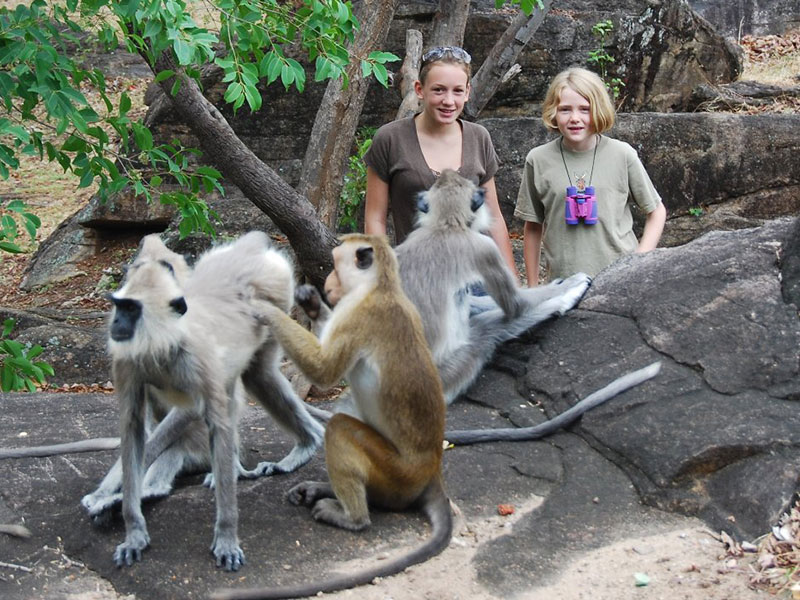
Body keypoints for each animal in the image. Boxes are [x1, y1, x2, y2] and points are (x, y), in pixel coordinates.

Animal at [98, 231, 324, 571]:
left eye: (132, 309)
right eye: (120, 306)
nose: (116, 323)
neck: (165, 340)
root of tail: (247, 248)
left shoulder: (199, 359)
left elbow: (211, 423)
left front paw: (227, 537)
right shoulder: (127, 361)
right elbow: (133, 429)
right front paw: (132, 530)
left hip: (275, 293)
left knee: (253, 380)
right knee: (256, 376)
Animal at [212, 234, 452, 600]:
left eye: (337, 267)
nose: (327, 284)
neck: (379, 286)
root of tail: (432, 470)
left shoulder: (358, 315)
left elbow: (324, 370)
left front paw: (262, 306)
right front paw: (311, 304)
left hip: (397, 473)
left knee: (339, 427)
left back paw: (351, 517)